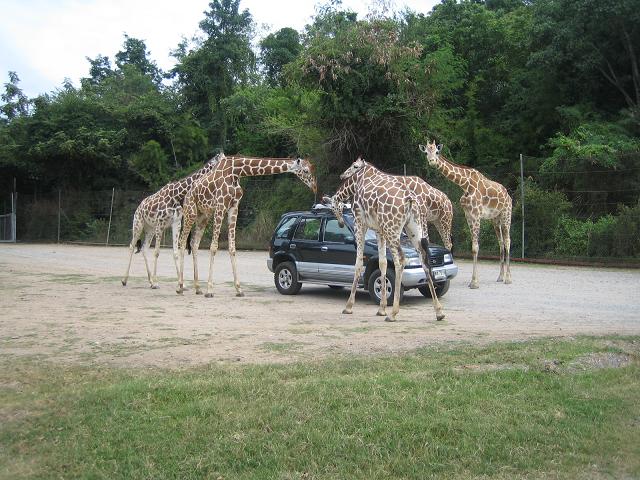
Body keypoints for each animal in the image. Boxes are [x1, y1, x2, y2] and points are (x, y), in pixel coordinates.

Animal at [121, 153, 223, 288]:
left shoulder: (176, 223)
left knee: (144, 249)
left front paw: (181, 284)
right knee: (132, 246)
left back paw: (150, 281)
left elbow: (175, 252)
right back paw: (125, 280)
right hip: (138, 224)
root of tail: (138, 207)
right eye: (220, 162)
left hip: (150, 229)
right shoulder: (160, 223)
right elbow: (157, 252)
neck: (177, 195)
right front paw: (157, 283)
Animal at [176, 156, 317, 297]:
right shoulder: (220, 206)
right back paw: (180, 286)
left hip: (203, 216)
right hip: (191, 212)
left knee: (194, 243)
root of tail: (187, 195)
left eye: (312, 169)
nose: (315, 187)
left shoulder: (234, 207)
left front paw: (239, 289)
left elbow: (232, 248)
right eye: (305, 170)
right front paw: (210, 290)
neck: (236, 172)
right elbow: (214, 247)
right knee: (182, 242)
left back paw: (197, 288)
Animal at [325, 157, 445, 322]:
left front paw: (348, 306)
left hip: (392, 229)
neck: (356, 182)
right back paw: (439, 312)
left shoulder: (359, 224)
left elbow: (358, 263)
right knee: (423, 258)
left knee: (401, 259)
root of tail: (410, 199)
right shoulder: (379, 230)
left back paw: (393, 313)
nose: (342, 175)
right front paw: (381, 309)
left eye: (354, 166)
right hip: (413, 228)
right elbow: (382, 263)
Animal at [419, 140, 512, 288]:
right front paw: (473, 281)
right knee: (501, 242)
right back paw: (500, 277)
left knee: (508, 241)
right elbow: (473, 247)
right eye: (426, 152)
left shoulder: (476, 214)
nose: (432, 161)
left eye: (437, 152)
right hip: (495, 219)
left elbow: (475, 247)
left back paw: (508, 278)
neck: (464, 184)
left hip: (506, 215)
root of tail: (508, 195)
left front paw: (474, 282)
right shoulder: (468, 215)